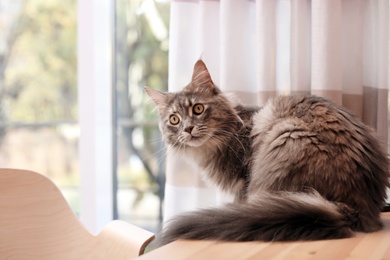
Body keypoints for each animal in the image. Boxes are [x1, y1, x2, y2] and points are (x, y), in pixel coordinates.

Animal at [144, 60, 390, 247]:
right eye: (174, 120)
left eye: (198, 109)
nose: (187, 129)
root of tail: (362, 205)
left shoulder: (243, 183)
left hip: (286, 135)